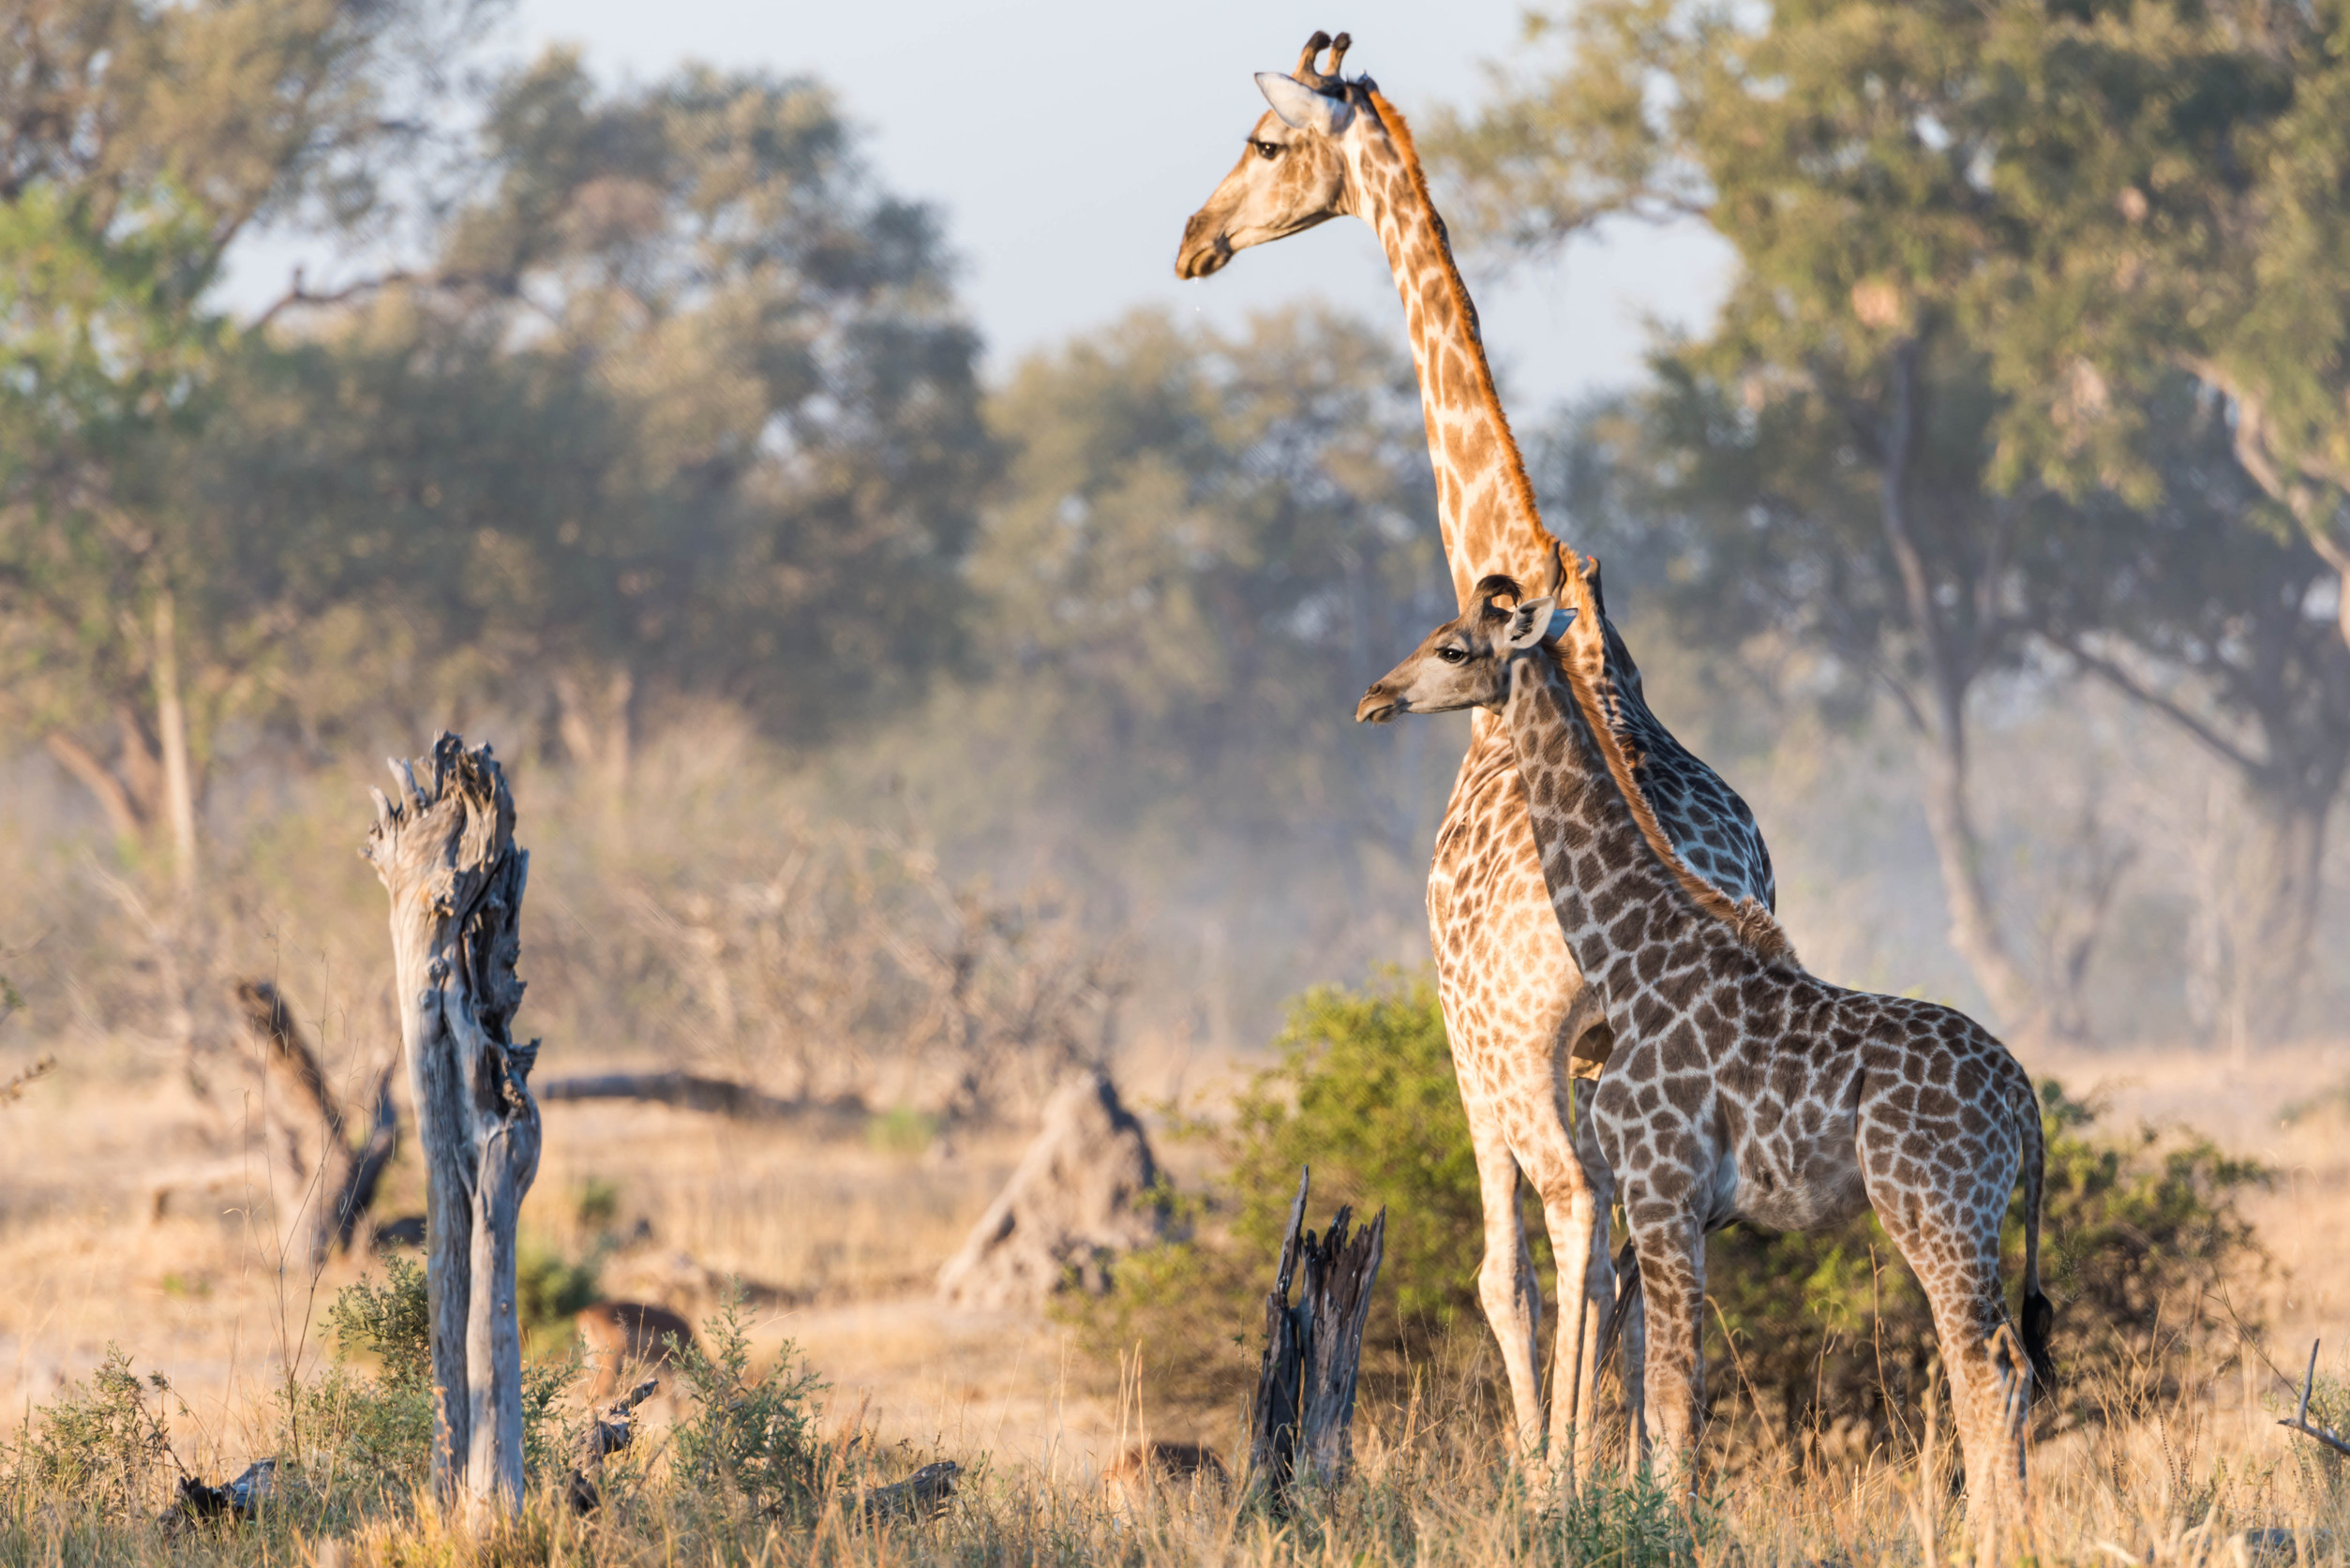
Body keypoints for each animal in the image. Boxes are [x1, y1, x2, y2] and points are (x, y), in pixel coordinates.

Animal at [1165, 27, 1767, 1486]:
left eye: (1263, 143)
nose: (1195, 242)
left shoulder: (1467, 1034)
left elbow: (1505, 1268)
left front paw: (1547, 1474)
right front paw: (1600, 1461)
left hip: (1529, 1054)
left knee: (1571, 1223)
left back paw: (1568, 1474)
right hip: (1646, 1067)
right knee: (1649, 1242)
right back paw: (1649, 1464)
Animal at [1363, 557, 2058, 1551]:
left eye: (1452, 646)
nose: (1374, 697)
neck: (1628, 950)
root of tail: (2026, 1101)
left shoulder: (1660, 1188)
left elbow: (1670, 1392)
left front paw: (1657, 1531)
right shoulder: (1682, 1204)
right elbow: (1663, 1383)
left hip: (1934, 1208)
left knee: (1989, 1364)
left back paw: (1994, 1541)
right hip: (1966, 1215)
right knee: (2010, 1363)